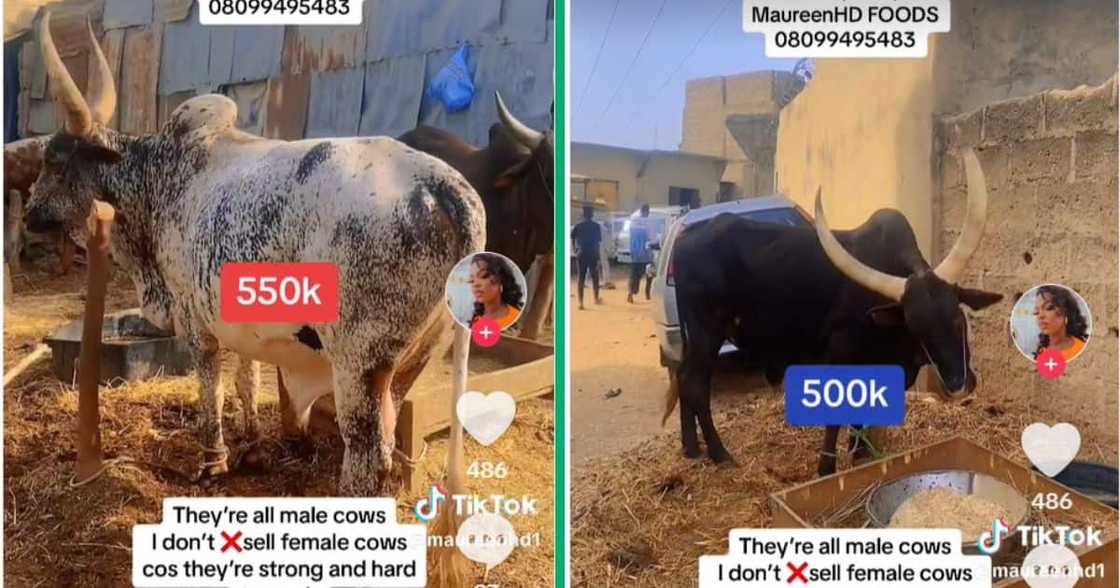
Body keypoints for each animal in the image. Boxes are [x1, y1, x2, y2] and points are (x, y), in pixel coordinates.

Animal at [27, 13, 486, 492]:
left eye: (54, 159)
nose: (29, 213)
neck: (159, 181)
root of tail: (444, 187)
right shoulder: (235, 316)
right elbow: (246, 380)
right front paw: (252, 445)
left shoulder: (195, 323)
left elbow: (211, 392)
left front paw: (213, 463)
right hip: (420, 354)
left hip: (360, 361)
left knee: (367, 453)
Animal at [663, 148, 999, 474]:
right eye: (916, 326)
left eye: (959, 319)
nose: (958, 385)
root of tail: (685, 240)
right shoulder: (840, 353)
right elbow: (837, 417)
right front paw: (827, 467)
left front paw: (860, 454)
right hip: (707, 330)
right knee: (695, 382)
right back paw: (720, 454)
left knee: (683, 377)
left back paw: (691, 448)